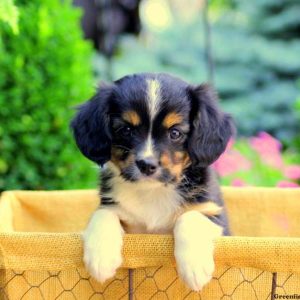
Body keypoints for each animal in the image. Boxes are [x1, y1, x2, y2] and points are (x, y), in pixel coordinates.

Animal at [71, 72, 234, 290]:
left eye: (175, 133)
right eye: (126, 130)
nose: (147, 165)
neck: (152, 191)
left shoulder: (215, 215)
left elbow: (190, 216)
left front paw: (194, 268)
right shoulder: (113, 207)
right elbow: (103, 214)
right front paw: (100, 258)